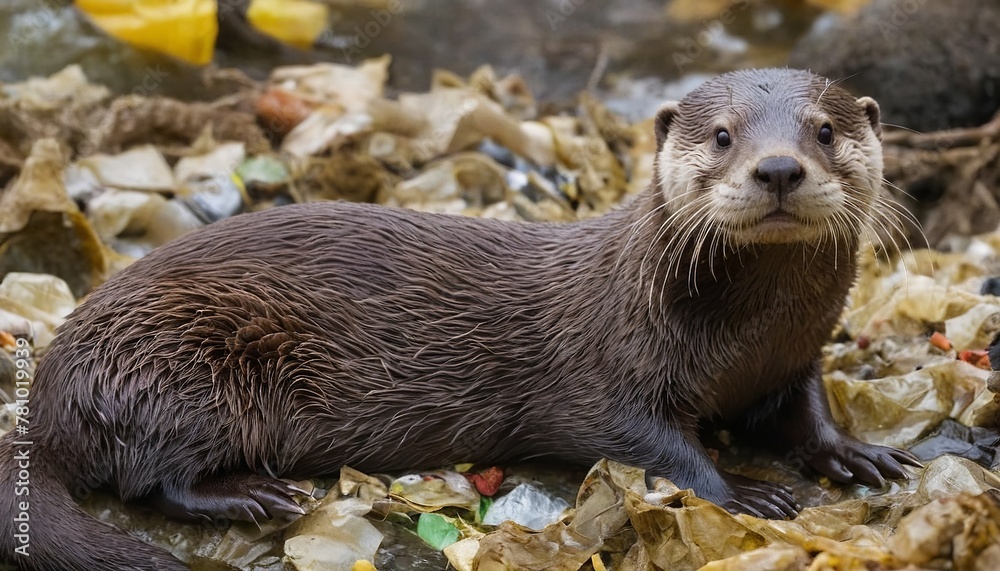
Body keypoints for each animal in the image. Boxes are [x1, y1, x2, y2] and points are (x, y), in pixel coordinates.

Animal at [1, 68, 918, 569]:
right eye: (724, 136)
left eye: (825, 129)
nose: (777, 166)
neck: (746, 336)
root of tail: (50, 388)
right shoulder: (607, 367)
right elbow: (651, 442)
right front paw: (745, 489)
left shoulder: (794, 354)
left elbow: (806, 411)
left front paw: (858, 452)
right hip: (181, 363)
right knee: (153, 475)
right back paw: (254, 495)